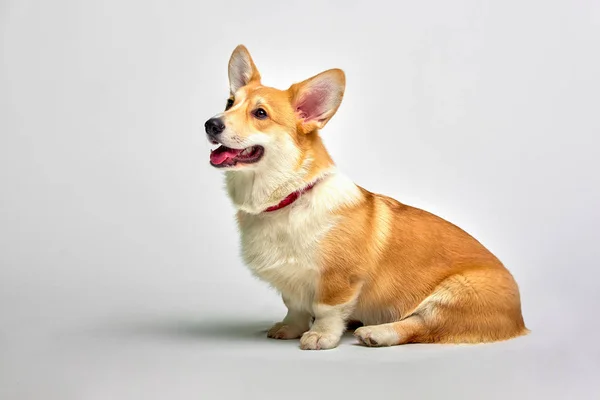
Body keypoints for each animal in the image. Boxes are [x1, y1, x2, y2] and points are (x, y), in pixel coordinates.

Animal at [205, 45, 524, 348]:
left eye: (260, 113)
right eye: (229, 103)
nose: (210, 124)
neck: (289, 199)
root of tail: (520, 319)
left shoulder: (338, 280)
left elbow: (326, 310)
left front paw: (320, 337)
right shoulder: (291, 284)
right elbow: (294, 307)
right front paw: (290, 329)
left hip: (453, 295)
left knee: (421, 325)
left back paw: (377, 333)